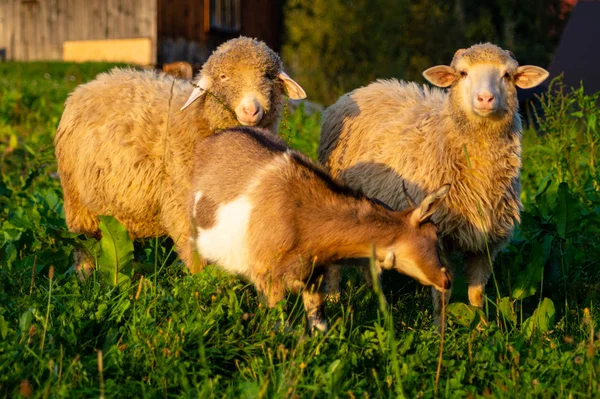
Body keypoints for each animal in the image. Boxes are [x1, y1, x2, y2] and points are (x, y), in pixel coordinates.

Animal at [54, 36, 308, 276]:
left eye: (268, 75)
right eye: (223, 76)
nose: (251, 110)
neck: (198, 119)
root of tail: (92, 83)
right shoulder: (183, 205)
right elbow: (196, 255)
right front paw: (201, 283)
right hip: (77, 203)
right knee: (82, 244)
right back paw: (85, 276)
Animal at [188, 127, 450, 332]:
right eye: (434, 234)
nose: (446, 280)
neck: (303, 217)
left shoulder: (313, 277)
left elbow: (319, 326)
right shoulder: (269, 278)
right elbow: (280, 327)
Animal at [318, 43, 548, 322]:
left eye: (507, 75)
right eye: (462, 73)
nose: (485, 98)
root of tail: (365, 88)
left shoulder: (486, 242)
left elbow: (476, 293)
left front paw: (481, 326)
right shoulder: (438, 234)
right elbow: (442, 294)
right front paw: (441, 325)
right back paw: (334, 297)